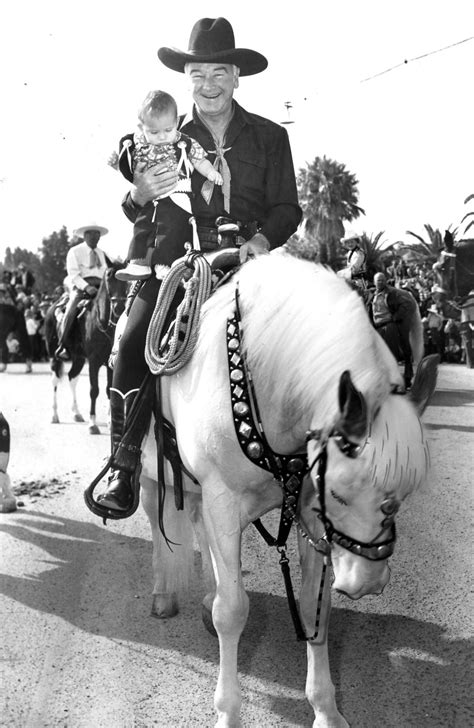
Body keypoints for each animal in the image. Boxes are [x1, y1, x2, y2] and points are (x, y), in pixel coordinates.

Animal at [44, 262, 128, 432]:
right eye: (109, 276)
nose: (119, 307)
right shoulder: (94, 362)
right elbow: (94, 390)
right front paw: (93, 424)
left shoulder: (109, 363)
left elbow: (109, 389)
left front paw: (110, 423)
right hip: (54, 357)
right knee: (55, 381)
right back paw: (54, 415)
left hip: (79, 359)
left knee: (72, 377)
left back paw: (76, 413)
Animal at [134, 252, 436, 728]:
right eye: (340, 494)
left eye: (400, 498)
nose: (366, 583)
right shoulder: (224, 499)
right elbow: (233, 611)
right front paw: (228, 713)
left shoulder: (309, 512)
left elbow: (316, 608)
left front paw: (326, 710)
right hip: (153, 475)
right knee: (156, 520)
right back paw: (164, 592)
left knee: (200, 529)